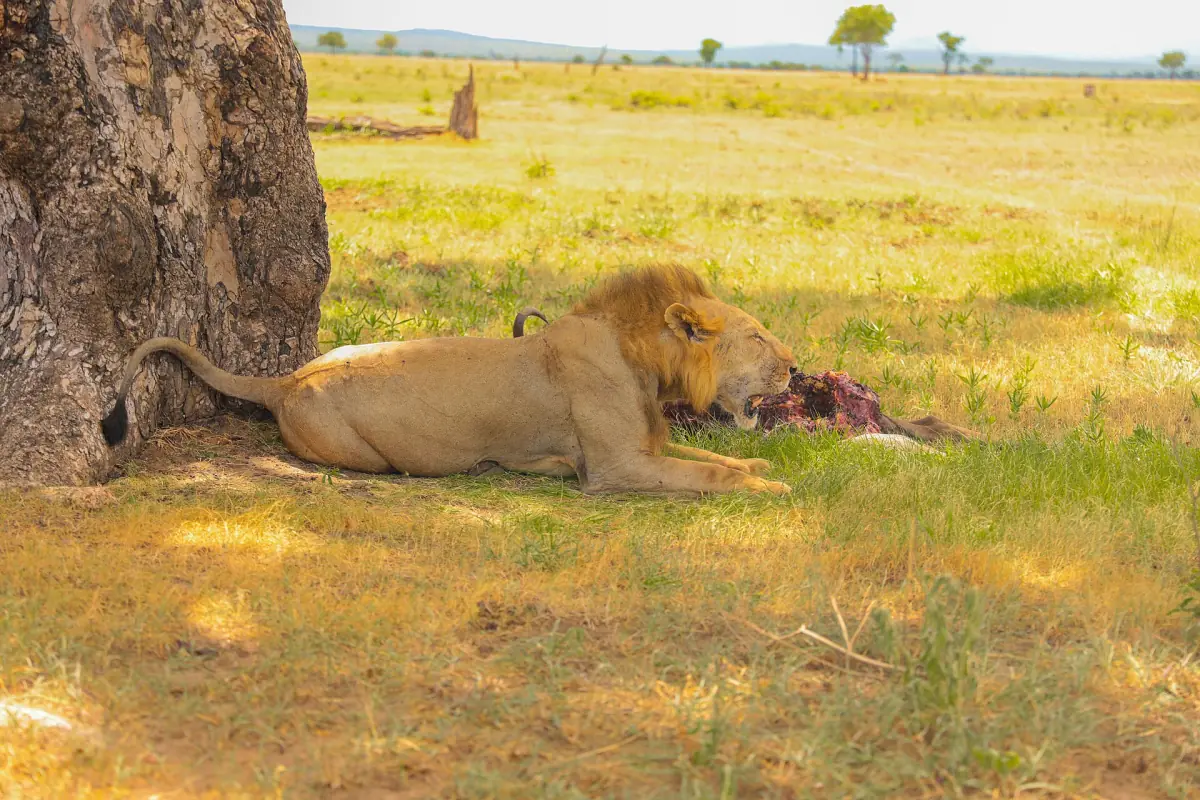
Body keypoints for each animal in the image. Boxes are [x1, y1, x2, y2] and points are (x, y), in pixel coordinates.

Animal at [102, 265, 798, 496]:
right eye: (759, 337)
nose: (796, 367)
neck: (647, 362)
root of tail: (287, 379)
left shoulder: (647, 445)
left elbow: (708, 456)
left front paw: (760, 468)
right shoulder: (615, 469)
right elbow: (710, 474)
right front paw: (772, 488)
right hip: (370, 457)